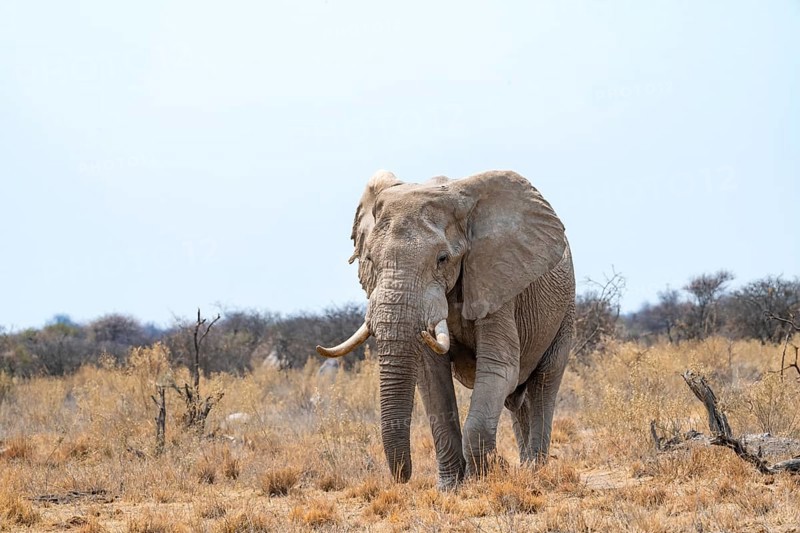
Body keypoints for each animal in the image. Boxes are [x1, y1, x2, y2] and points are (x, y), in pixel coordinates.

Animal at [316, 170, 575, 490]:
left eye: (442, 259)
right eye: (369, 260)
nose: (403, 478)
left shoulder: (496, 280)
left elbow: (500, 368)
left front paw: (485, 475)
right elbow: (432, 377)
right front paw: (451, 487)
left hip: (565, 310)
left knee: (544, 382)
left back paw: (535, 470)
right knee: (517, 399)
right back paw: (526, 464)